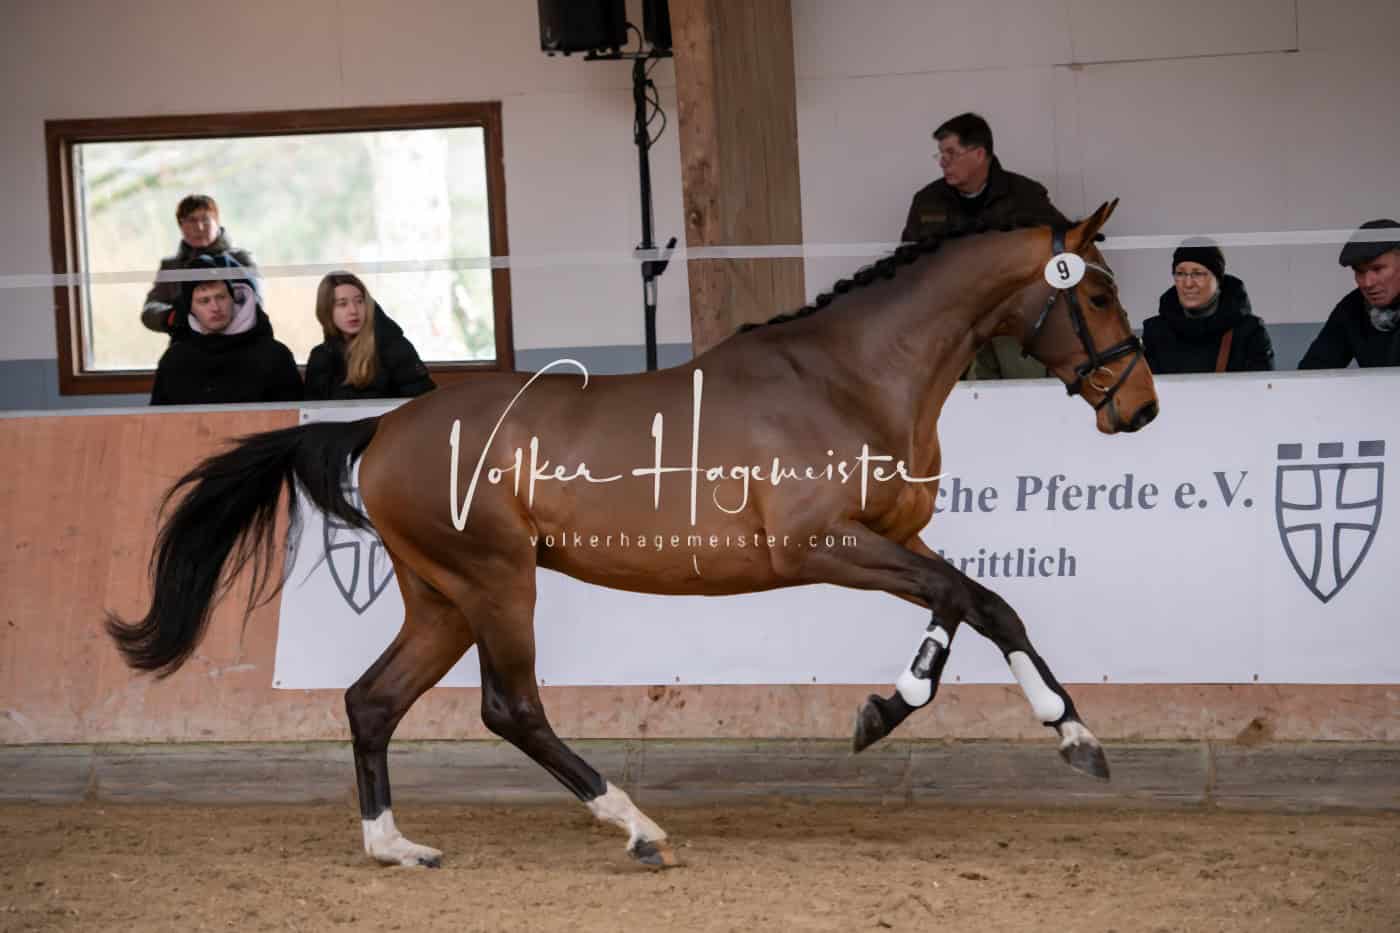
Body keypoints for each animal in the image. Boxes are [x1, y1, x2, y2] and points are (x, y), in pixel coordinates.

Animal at [106, 200, 1158, 869]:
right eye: (1098, 295)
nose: (1142, 408)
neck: (851, 374)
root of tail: (385, 424)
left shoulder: (890, 538)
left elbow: (975, 604)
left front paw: (957, 716)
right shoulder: (822, 545)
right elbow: (967, 599)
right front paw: (1028, 726)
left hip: (439, 597)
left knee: (372, 701)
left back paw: (395, 845)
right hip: (497, 583)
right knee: (510, 708)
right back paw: (635, 824)